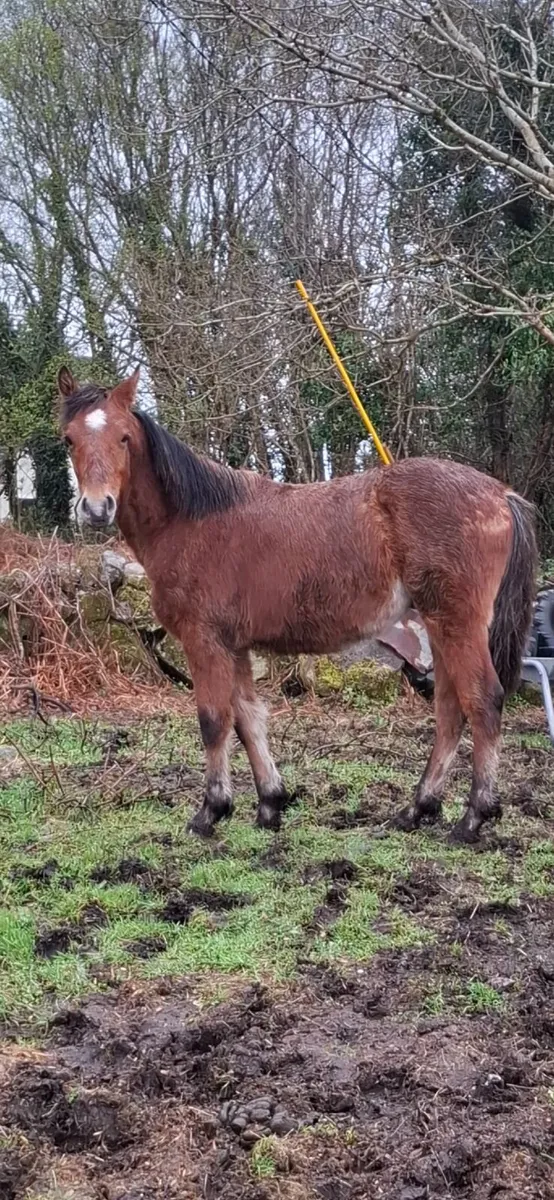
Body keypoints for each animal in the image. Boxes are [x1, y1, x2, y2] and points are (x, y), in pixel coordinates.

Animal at [58, 366, 537, 844]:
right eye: (68, 439)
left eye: (123, 437)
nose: (96, 509)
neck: (192, 520)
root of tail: (500, 494)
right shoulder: (235, 646)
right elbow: (249, 719)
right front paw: (270, 804)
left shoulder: (204, 641)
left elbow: (214, 720)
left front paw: (210, 812)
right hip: (440, 626)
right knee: (450, 709)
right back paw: (417, 809)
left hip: (457, 623)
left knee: (483, 701)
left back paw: (474, 816)